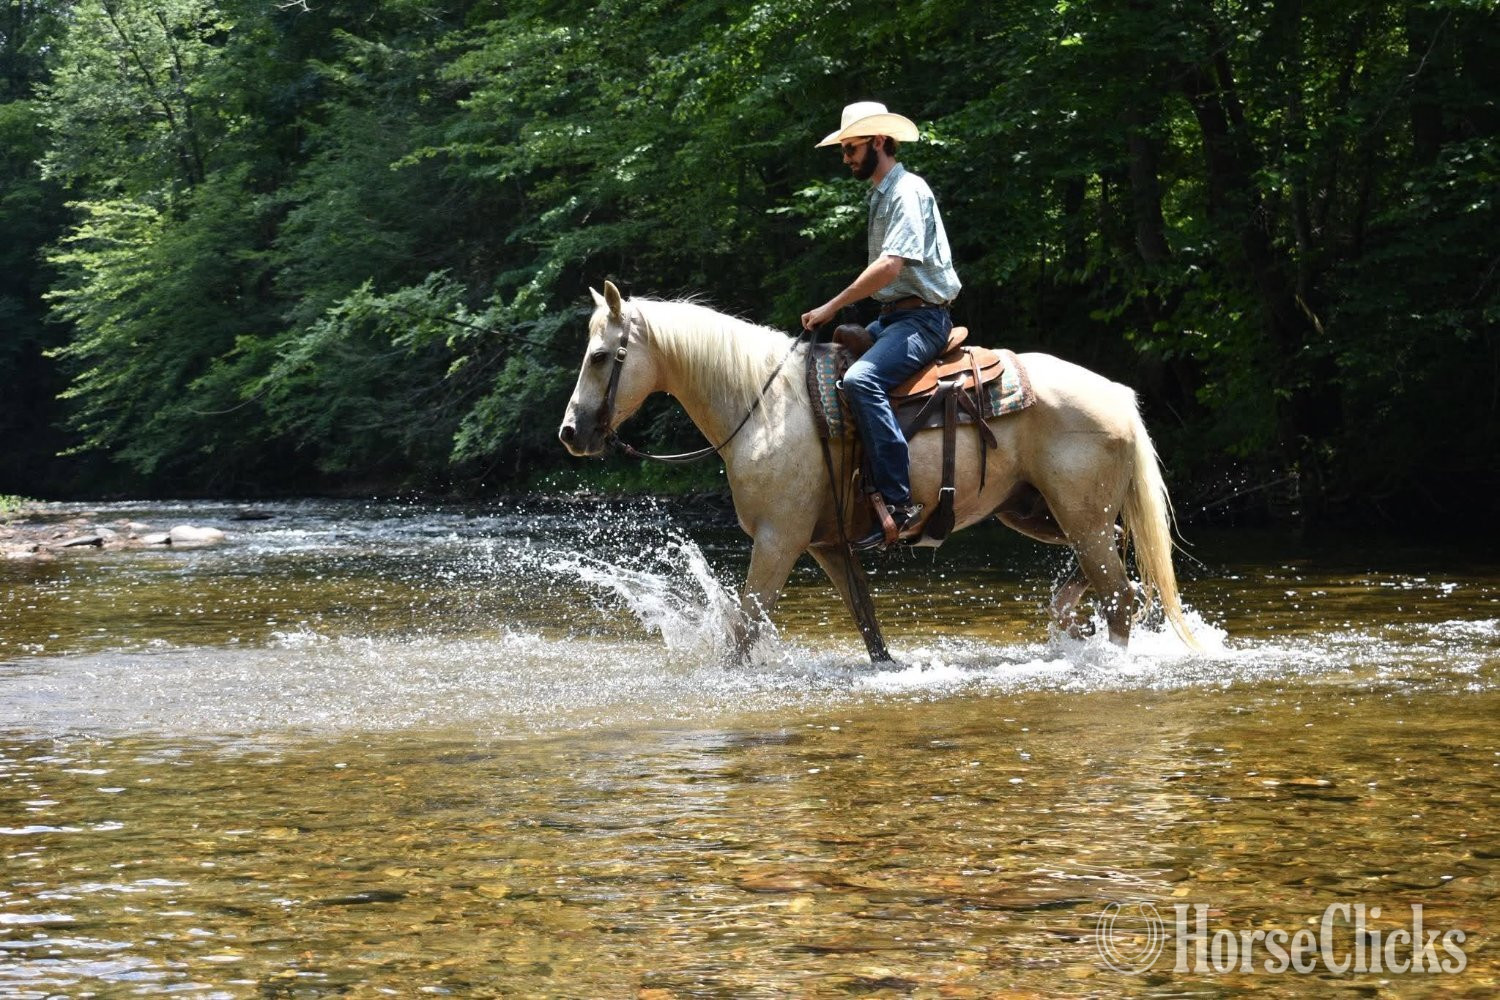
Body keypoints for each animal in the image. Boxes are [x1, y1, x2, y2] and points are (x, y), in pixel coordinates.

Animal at [559, 280, 1198, 660]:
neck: (766, 406)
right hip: (1040, 512)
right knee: (1115, 569)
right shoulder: (828, 544)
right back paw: (1067, 613)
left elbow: (744, 629)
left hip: (1077, 515)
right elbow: (869, 629)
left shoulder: (778, 539)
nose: (571, 432)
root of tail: (1118, 394)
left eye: (600, 356)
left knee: (1119, 596)